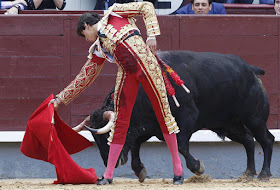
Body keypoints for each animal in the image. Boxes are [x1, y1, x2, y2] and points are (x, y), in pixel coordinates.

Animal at [87, 50, 274, 181]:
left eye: (108, 136)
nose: (110, 163)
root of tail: (251, 70)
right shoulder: (148, 125)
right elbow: (136, 145)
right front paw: (140, 171)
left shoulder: (187, 117)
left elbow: (181, 145)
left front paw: (198, 167)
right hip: (230, 125)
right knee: (248, 140)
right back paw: (248, 173)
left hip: (255, 119)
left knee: (267, 140)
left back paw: (263, 174)